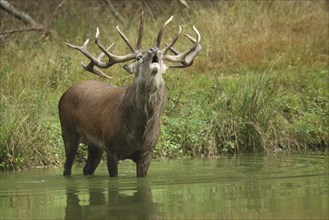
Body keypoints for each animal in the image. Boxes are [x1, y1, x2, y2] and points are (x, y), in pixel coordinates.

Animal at [59, 11, 201, 177]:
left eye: (162, 57)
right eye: (139, 57)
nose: (154, 50)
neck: (139, 131)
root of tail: (65, 93)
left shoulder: (147, 152)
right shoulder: (111, 148)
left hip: (95, 146)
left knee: (87, 169)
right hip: (68, 132)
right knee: (67, 167)